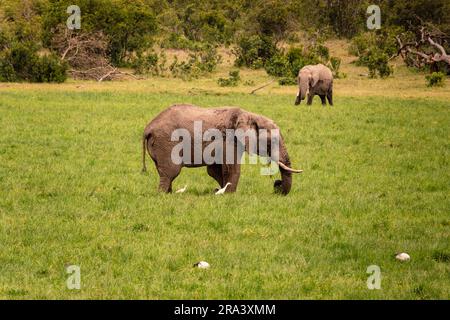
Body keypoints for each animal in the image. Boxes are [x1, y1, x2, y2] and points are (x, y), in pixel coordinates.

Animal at [141, 105, 302, 195]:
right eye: (272, 141)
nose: (277, 186)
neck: (250, 115)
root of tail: (148, 128)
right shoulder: (229, 139)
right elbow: (232, 168)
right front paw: (229, 195)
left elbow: (214, 171)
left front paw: (219, 192)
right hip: (166, 143)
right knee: (171, 171)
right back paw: (163, 195)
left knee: (164, 172)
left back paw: (168, 193)